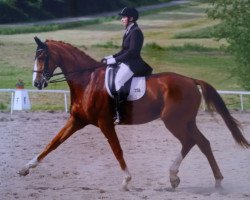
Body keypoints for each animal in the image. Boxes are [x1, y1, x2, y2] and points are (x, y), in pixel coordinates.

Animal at [18, 37, 249, 191]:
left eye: (43, 56)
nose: (36, 83)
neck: (87, 80)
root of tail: (191, 80)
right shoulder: (77, 120)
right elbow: (52, 144)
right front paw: (26, 168)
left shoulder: (105, 123)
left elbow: (117, 150)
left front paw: (126, 180)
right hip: (186, 121)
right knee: (203, 143)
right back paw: (216, 181)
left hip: (173, 122)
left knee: (190, 142)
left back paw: (175, 177)